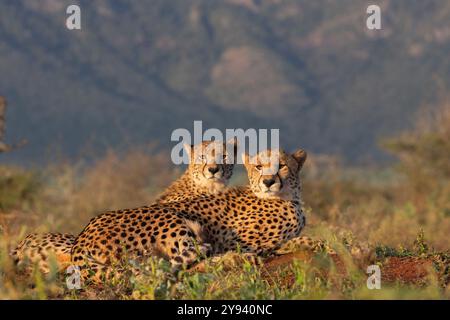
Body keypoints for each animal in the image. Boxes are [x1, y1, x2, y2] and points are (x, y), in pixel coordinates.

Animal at [71, 147, 310, 282]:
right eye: (259, 166)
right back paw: (237, 259)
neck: (288, 198)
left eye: (282, 165)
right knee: (179, 263)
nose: (268, 182)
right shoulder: (234, 240)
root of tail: (81, 238)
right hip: (171, 217)